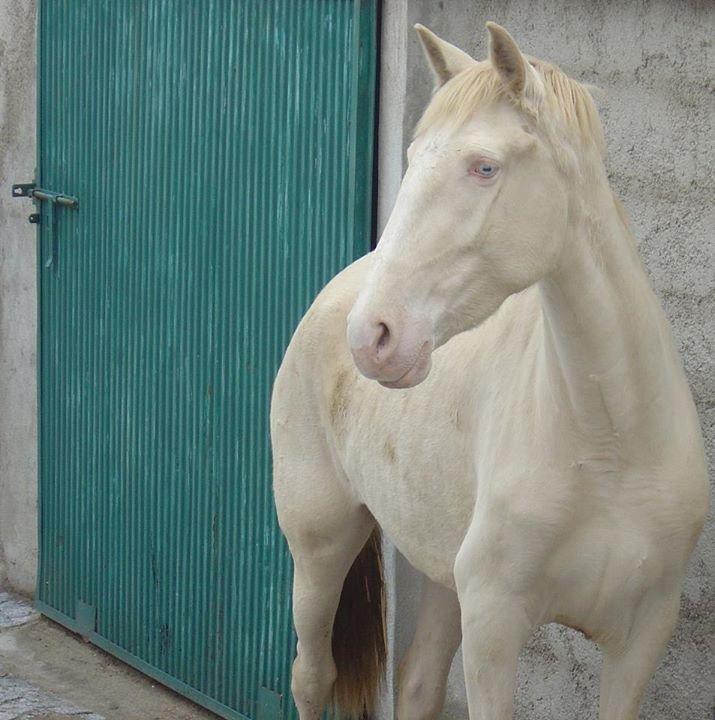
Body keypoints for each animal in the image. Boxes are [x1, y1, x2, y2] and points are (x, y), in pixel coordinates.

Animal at [270, 22, 712, 720]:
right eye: (413, 156)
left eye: (484, 167)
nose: (372, 338)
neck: (609, 443)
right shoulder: (493, 628)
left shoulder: (641, 639)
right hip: (320, 545)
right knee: (312, 676)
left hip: (440, 571)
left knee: (418, 685)